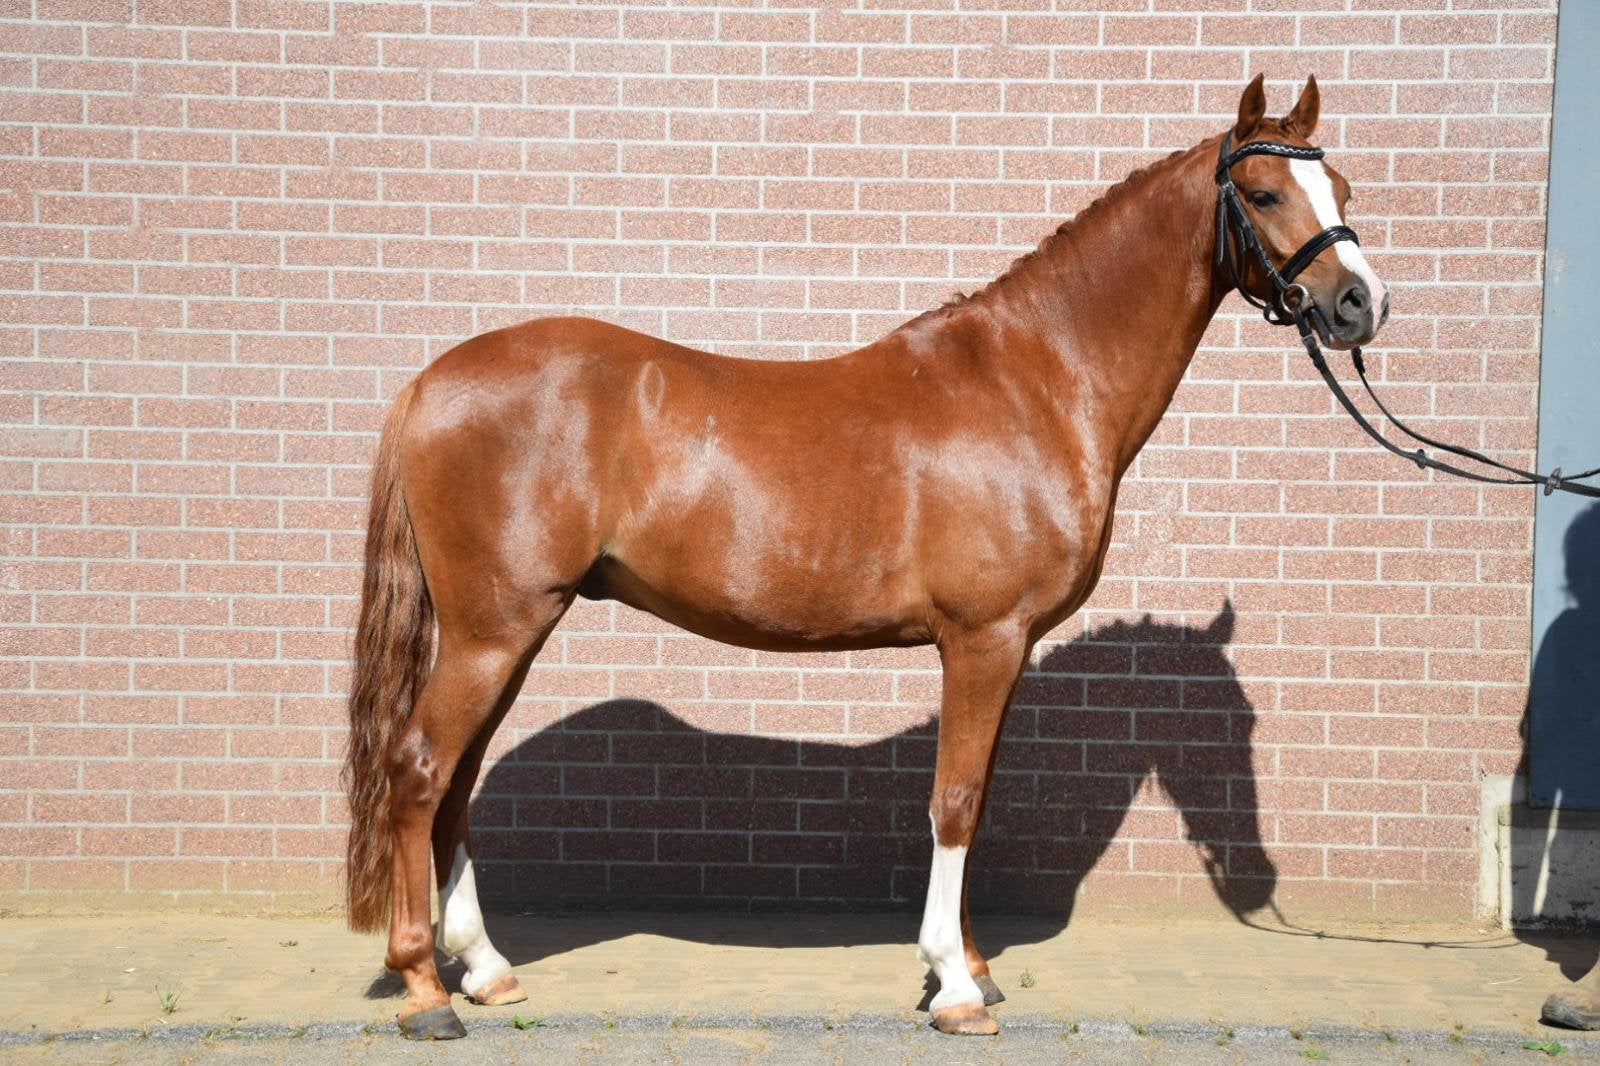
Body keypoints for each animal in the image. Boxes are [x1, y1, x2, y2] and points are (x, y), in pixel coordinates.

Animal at [341, 74, 1389, 1040]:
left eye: (1339, 184)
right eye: (1263, 193)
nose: (1358, 305)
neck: (1038, 381)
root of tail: (431, 382)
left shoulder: (1001, 648)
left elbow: (978, 795)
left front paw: (971, 967)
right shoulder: (981, 638)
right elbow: (955, 801)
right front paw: (956, 988)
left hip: (511, 629)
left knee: (457, 781)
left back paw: (486, 969)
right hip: (493, 629)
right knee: (421, 768)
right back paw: (427, 989)